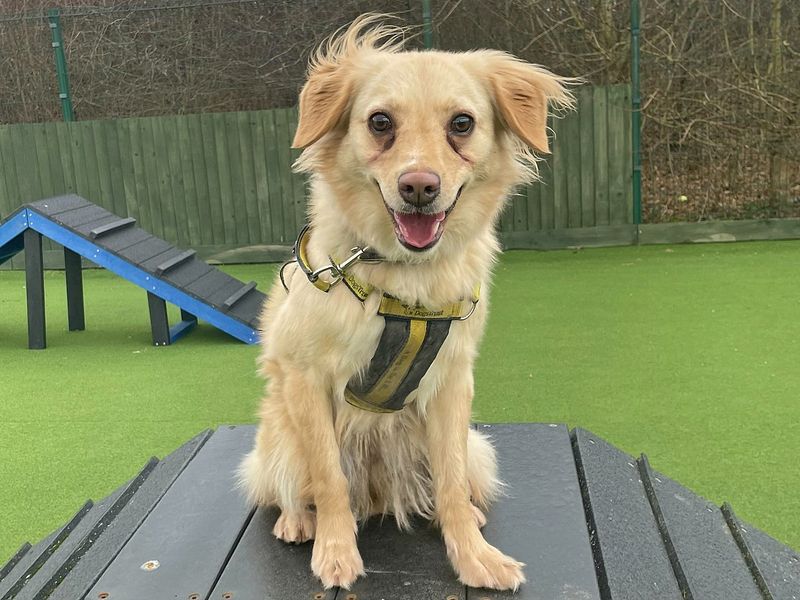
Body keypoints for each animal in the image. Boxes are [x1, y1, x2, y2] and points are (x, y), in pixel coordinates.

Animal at [238, 12, 576, 592]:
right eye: (379, 122)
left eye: (462, 123)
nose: (419, 186)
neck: (405, 282)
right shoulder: (305, 379)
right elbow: (328, 478)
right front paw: (335, 551)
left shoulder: (452, 385)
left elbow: (449, 481)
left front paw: (474, 556)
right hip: (278, 441)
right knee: (294, 488)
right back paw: (298, 521)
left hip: (478, 447)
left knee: (454, 480)